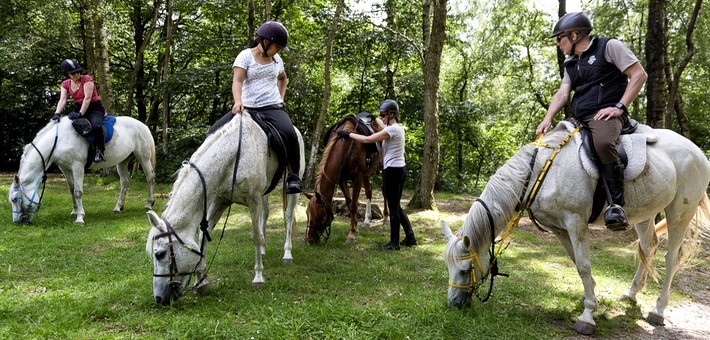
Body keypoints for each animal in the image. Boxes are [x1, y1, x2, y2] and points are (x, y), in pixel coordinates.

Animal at [8, 115, 156, 224]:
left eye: (15, 199)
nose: (17, 221)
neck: (59, 140)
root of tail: (143, 125)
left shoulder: (77, 166)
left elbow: (78, 191)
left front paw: (80, 217)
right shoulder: (65, 168)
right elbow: (71, 189)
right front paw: (75, 211)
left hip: (143, 158)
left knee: (150, 177)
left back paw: (149, 204)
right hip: (122, 161)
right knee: (124, 181)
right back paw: (118, 207)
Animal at [147, 111, 306, 306]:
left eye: (160, 254)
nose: (159, 298)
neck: (234, 155)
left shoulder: (253, 199)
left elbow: (255, 236)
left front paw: (258, 277)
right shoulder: (220, 201)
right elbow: (203, 237)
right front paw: (202, 280)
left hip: (292, 184)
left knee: (288, 216)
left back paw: (287, 254)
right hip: (265, 193)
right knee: (266, 214)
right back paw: (263, 252)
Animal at [304, 114, 390, 244]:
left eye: (320, 215)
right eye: (307, 213)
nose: (309, 240)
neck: (347, 144)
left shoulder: (357, 177)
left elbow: (354, 206)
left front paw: (352, 235)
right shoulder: (341, 180)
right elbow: (349, 204)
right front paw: (355, 228)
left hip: (384, 168)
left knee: (384, 190)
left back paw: (385, 217)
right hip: (366, 173)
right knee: (369, 191)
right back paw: (367, 221)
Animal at [444, 123, 710, 336]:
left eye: (466, 269)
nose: (454, 304)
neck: (542, 172)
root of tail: (698, 152)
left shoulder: (575, 222)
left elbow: (583, 265)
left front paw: (588, 315)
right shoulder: (559, 228)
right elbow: (576, 262)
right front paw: (590, 296)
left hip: (680, 212)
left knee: (671, 258)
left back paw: (658, 310)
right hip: (645, 213)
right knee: (648, 246)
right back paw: (631, 294)